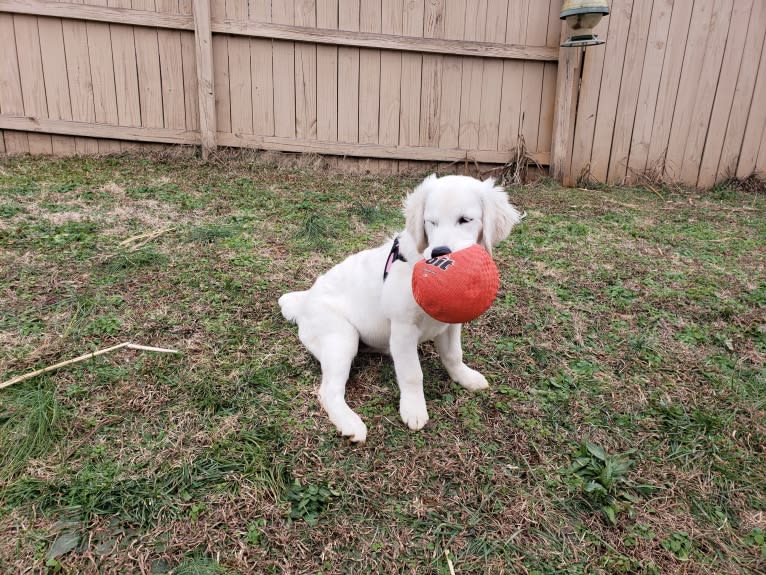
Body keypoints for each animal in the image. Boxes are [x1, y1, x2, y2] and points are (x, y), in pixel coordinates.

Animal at [280, 173, 524, 444]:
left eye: (465, 220)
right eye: (431, 222)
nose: (439, 253)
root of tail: (305, 300)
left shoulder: (450, 323)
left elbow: (453, 355)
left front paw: (465, 377)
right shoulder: (403, 328)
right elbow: (412, 373)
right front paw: (414, 409)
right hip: (342, 337)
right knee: (328, 390)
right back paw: (350, 424)